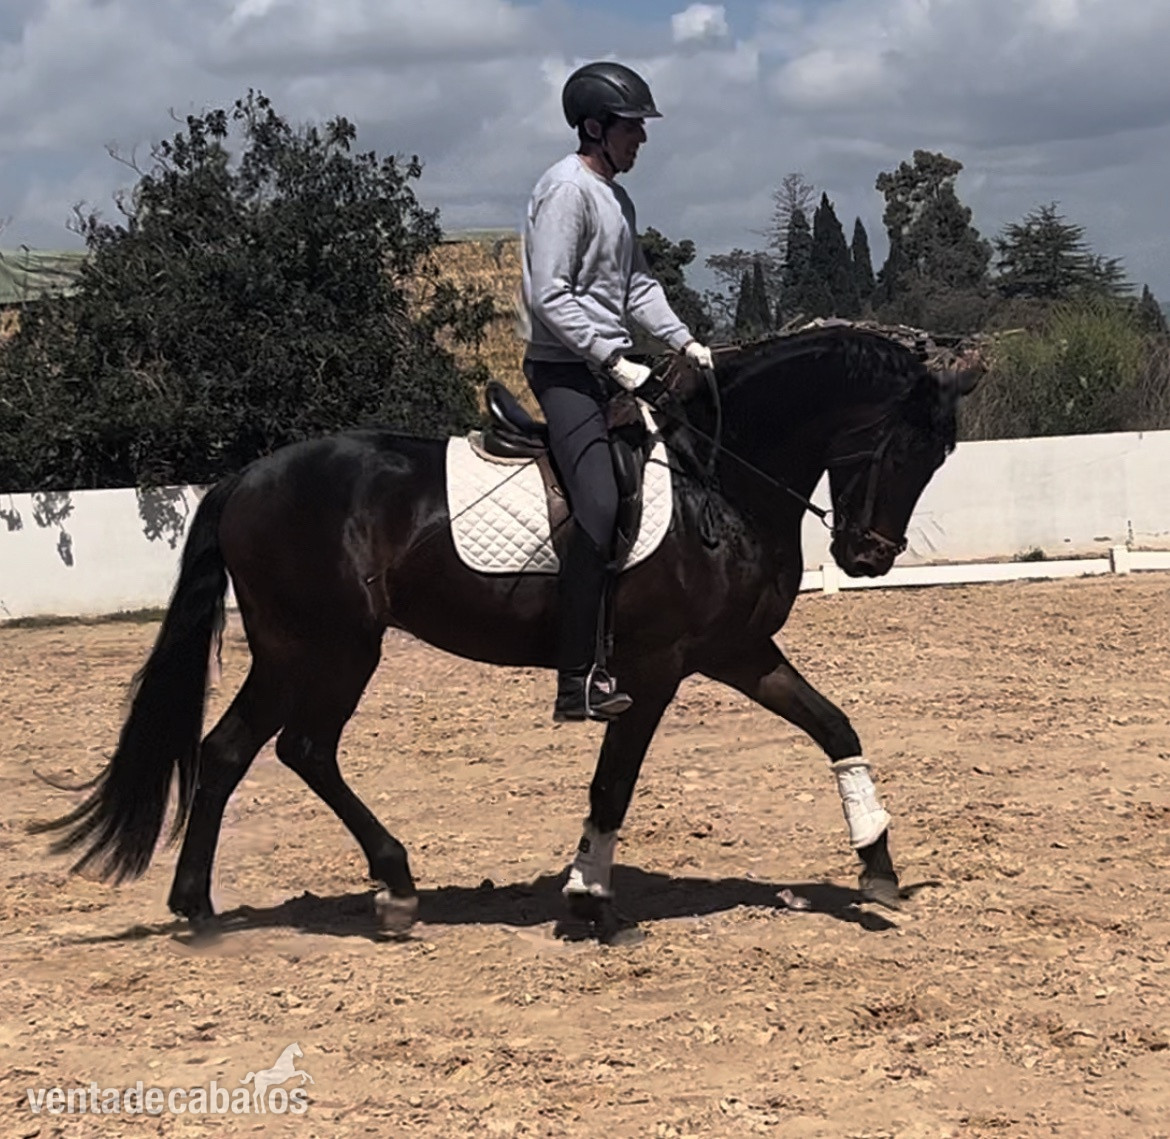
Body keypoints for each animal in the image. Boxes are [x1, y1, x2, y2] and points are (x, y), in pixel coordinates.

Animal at [34, 325, 979, 944]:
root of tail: (242, 479)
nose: (867, 557)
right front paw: (593, 901)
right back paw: (392, 886)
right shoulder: (654, 667)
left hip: (293, 650)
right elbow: (613, 783)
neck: (717, 477)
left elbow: (833, 724)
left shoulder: (736, 653)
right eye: (904, 448)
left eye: (939, 458)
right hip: (332, 647)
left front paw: (878, 864)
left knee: (231, 750)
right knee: (300, 747)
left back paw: (200, 907)